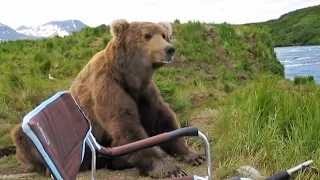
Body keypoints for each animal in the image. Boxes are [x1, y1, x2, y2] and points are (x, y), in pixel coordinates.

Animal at [11, 19, 205, 178]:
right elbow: (125, 123)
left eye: (164, 35)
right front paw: (167, 168)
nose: (169, 49)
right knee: (22, 135)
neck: (127, 75)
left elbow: (161, 119)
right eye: (147, 35)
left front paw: (193, 155)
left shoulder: (144, 92)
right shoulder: (107, 86)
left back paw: (120, 161)